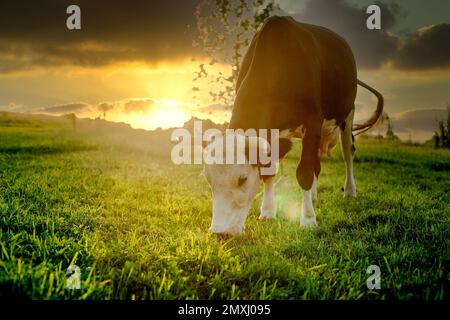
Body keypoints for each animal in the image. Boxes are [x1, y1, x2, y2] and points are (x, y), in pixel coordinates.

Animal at [204, 16, 384, 236]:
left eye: (243, 179)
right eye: (209, 181)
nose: (219, 233)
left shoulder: (313, 121)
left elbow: (304, 172)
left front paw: (308, 220)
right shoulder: (272, 134)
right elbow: (270, 171)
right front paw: (267, 212)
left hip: (347, 114)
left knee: (347, 153)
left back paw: (349, 191)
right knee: (317, 163)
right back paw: (313, 197)